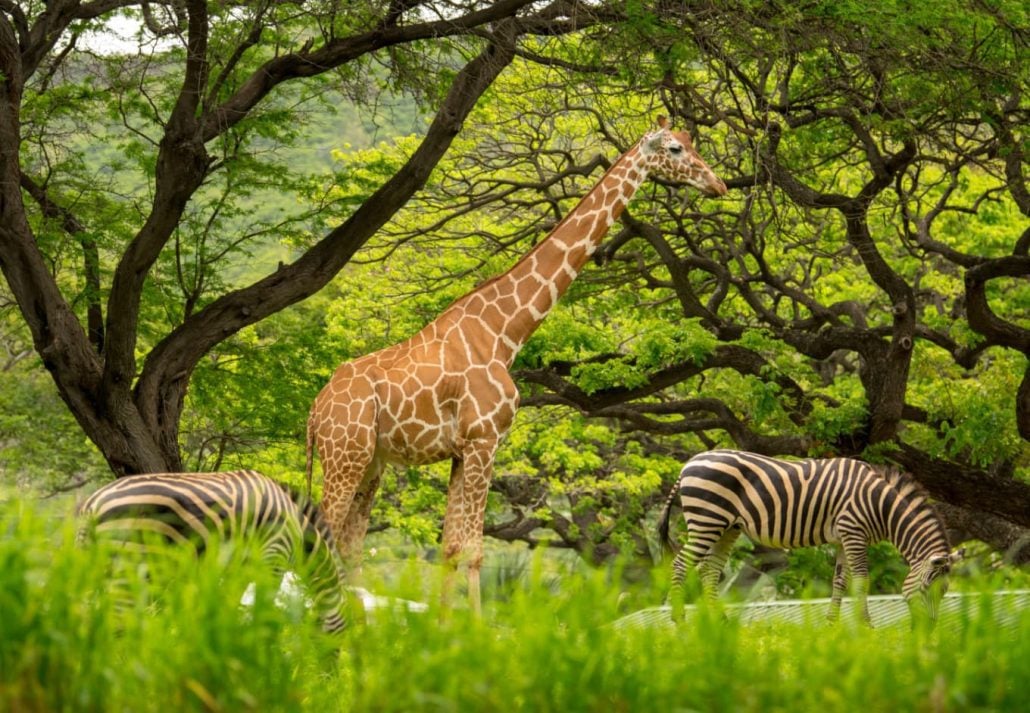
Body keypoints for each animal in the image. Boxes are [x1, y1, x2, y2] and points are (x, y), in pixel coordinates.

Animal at [77, 469, 350, 630]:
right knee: (117, 622)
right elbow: (263, 610)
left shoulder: (239, 567)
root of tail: (91, 504)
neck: (298, 528)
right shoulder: (274, 555)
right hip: (129, 565)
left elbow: (229, 605)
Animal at [304, 116, 725, 614]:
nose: (717, 184)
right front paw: (474, 627)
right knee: (322, 537)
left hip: (372, 461)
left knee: (348, 545)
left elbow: (450, 547)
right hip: (345, 454)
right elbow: (474, 549)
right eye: (676, 149)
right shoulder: (484, 439)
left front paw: (443, 626)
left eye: (694, 143)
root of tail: (314, 412)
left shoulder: (462, 450)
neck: (505, 332)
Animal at [659, 451, 964, 622]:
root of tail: (689, 463)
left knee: (709, 571)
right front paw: (865, 625)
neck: (880, 504)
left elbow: (840, 581)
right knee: (681, 564)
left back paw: (719, 620)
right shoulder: (854, 531)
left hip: (727, 527)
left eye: (945, 591)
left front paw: (832, 623)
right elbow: (862, 580)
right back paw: (679, 618)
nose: (929, 629)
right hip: (706, 519)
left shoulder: (843, 537)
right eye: (927, 588)